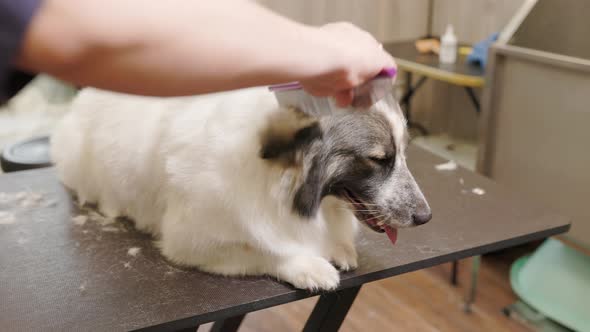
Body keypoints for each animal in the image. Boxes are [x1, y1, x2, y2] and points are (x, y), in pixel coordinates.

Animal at [52, 86, 430, 290]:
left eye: (403, 153)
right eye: (378, 159)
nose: (425, 217)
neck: (276, 178)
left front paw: (339, 246)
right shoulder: (190, 242)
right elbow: (264, 249)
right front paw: (308, 264)